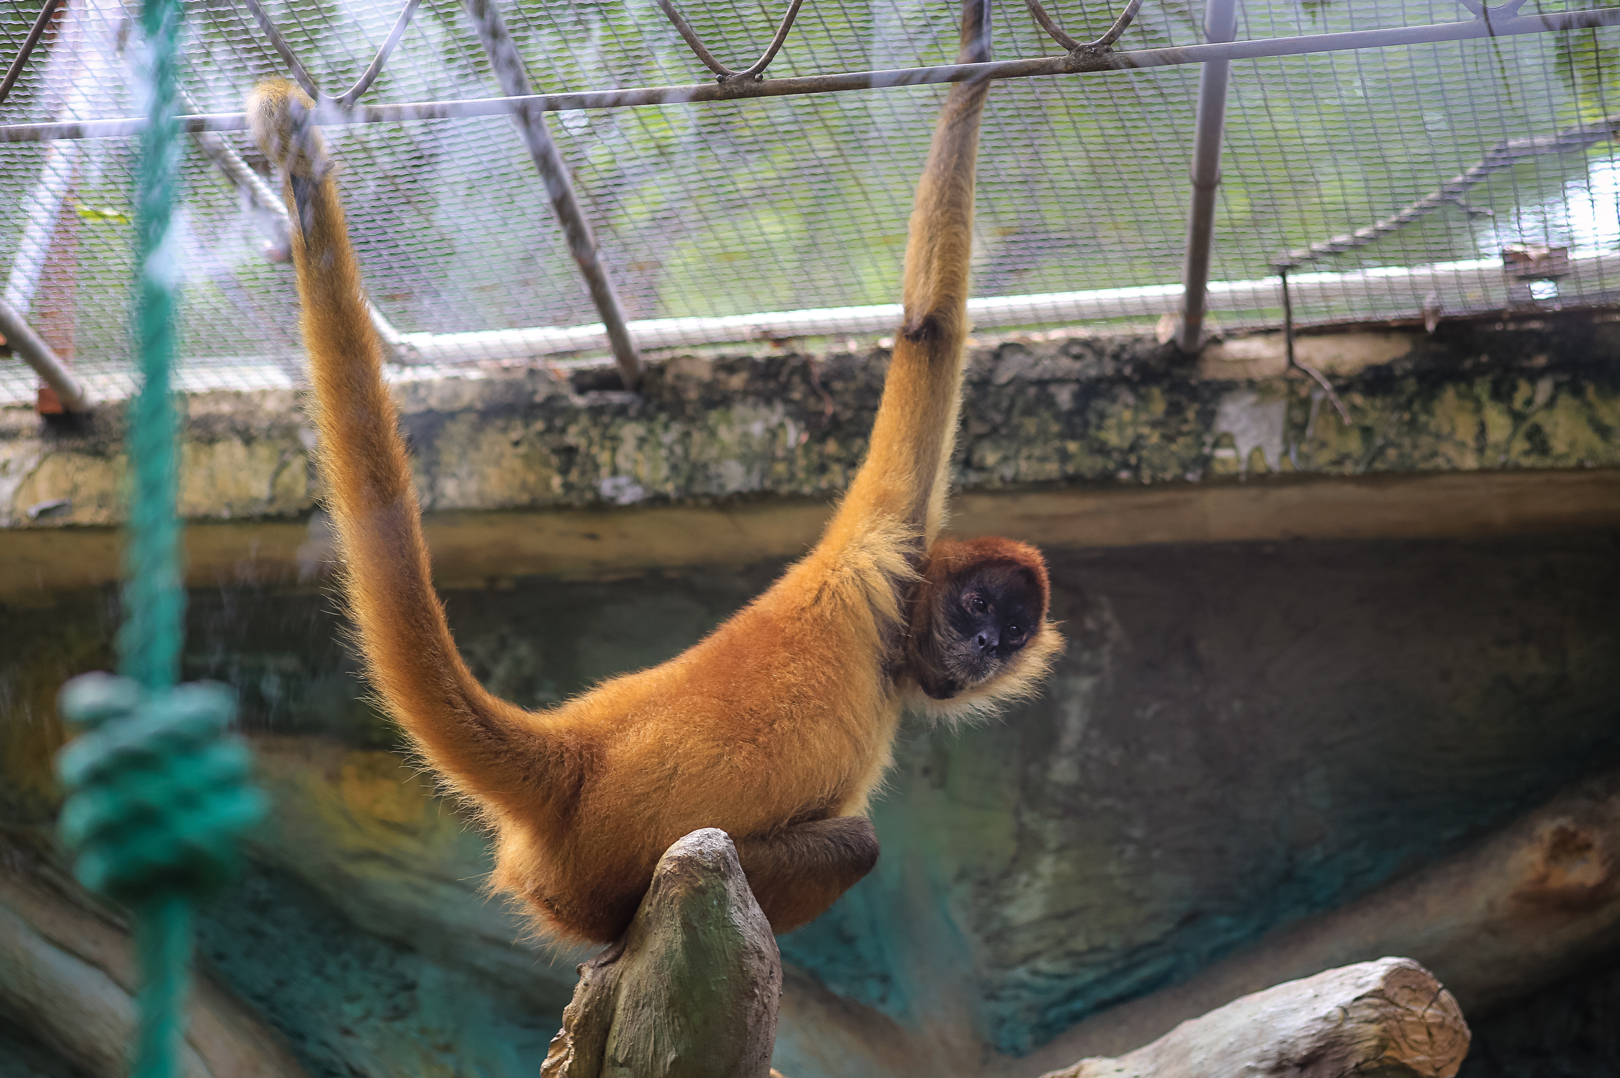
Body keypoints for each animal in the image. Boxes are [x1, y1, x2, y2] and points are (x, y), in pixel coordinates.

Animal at [247, 0, 1059, 946]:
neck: (897, 645)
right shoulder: (884, 541)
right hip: (624, 866)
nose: (984, 648)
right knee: (850, 845)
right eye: (977, 609)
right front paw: (975, 47)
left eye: (1011, 632)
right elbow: (931, 327)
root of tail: (578, 757)